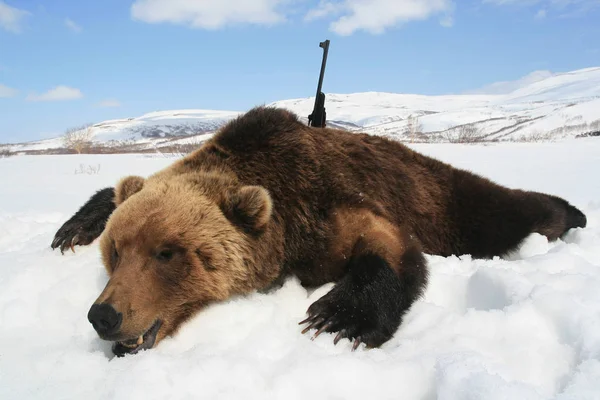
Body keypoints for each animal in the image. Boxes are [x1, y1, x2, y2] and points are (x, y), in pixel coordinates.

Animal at [50, 106, 584, 356]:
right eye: (116, 252)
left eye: (167, 252)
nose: (105, 315)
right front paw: (73, 228)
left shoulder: (327, 200)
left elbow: (389, 247)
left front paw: (336, 317)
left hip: (448, 201)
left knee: (503, 209)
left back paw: (570, 214)